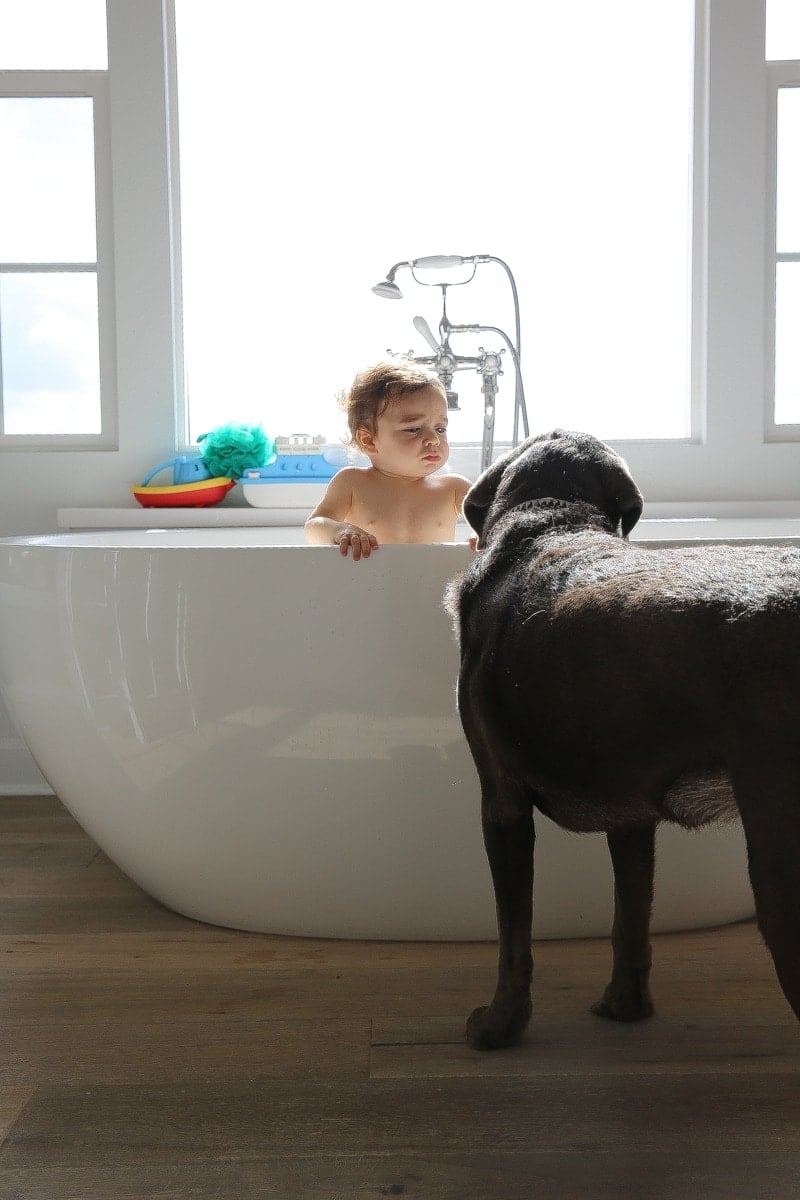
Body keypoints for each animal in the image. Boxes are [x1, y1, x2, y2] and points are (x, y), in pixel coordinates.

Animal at [443, 432, 800, 1051]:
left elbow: (514, 937)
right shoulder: (633, 813)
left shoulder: (501, 802)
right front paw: (624, 1006)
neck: (550, 525)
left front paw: (498, 1026)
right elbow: (629, 915)